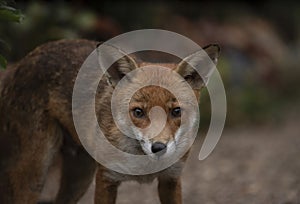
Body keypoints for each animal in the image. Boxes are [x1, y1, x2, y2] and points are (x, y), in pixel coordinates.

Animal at [0, 38, 220, 204]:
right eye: (138, 112)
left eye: (176, 111)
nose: (158, 148)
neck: (143, 167)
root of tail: (23, 61)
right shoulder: (106, 179)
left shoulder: (171, 179)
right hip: (34, 175)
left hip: (79, 177)